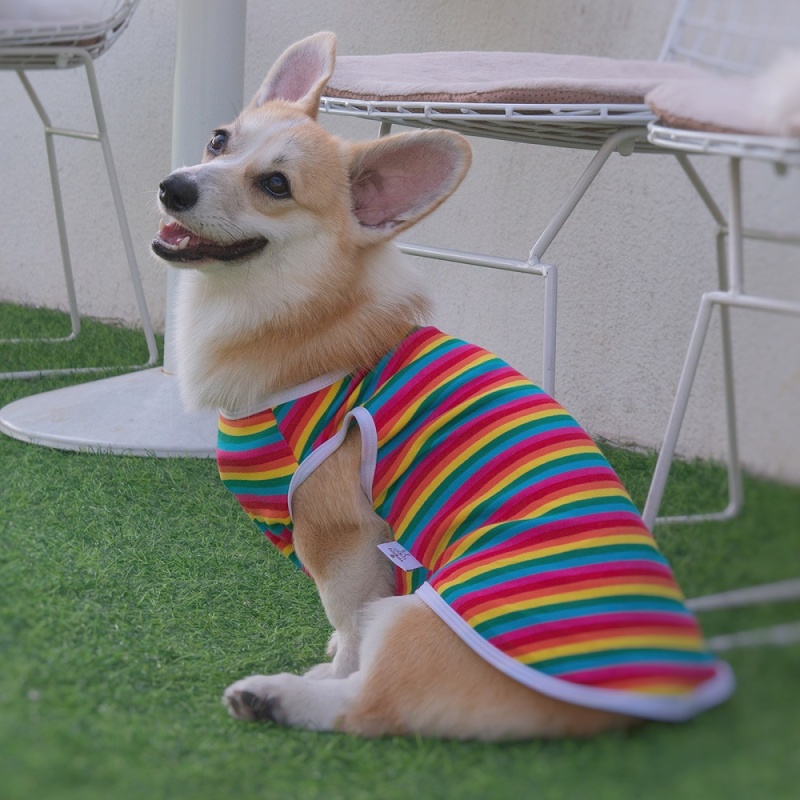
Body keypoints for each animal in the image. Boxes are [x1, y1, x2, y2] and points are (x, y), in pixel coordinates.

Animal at [152, 32, 732, 744]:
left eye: (275, 185)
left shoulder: (340, 537)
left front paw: (330, 663)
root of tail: (652, 700)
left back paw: (273, 695)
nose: (173, 187)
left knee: (368, 702)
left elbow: (349, 623)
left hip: (418, 619)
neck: (305, 311)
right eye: (217, 141)